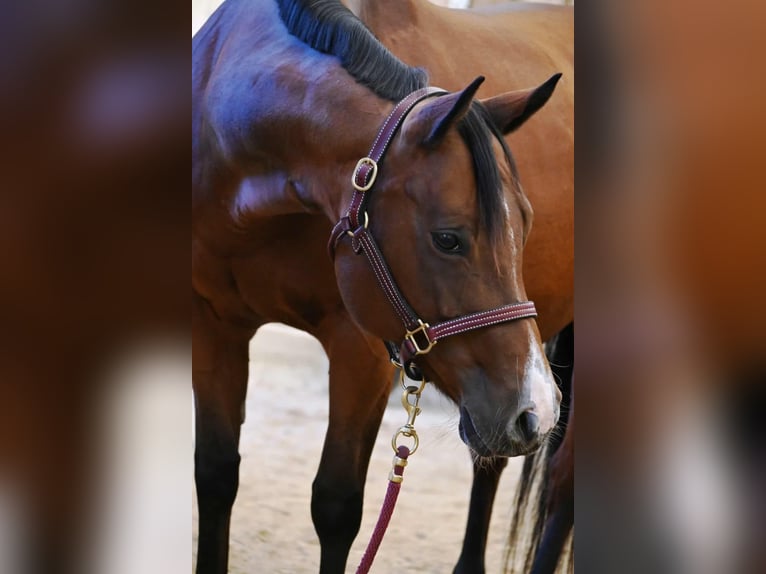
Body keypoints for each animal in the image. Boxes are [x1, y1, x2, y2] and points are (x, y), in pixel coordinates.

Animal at [192, 1, 573, 572]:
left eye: (524, 226)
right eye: (447, 238)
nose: (539, 409)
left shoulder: (362, 350)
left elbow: (335, 506)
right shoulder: (215, 325)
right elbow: (215, 476)